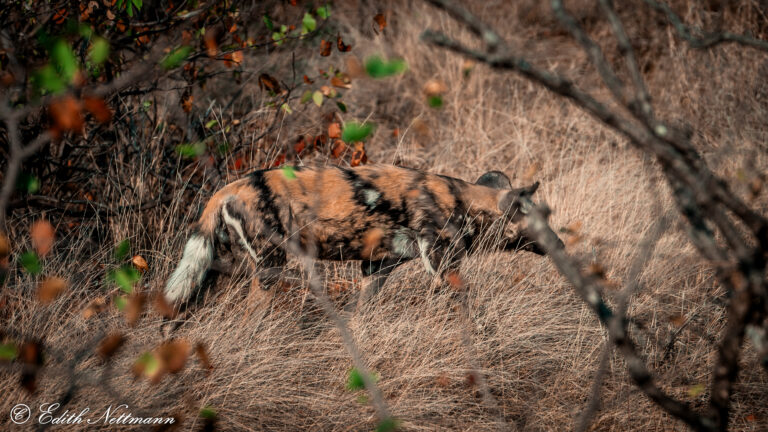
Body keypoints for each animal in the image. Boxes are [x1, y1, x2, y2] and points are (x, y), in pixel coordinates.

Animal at [164, 164, 560, 308]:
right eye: (540, 221)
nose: (560, 244)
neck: (464, 201)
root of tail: (227, 189)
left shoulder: (377, 268)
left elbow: (359, 310)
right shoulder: (442, 265)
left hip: (211, 272)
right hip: (269, 268)